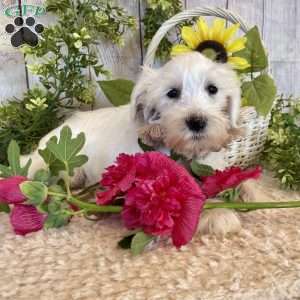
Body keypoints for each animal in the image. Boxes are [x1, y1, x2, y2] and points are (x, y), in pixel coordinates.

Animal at [24, 53, 244, 237]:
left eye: (212, 89)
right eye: (172, 93)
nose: (197, 122)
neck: (183, 152)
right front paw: (218, 212)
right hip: (64, 170)